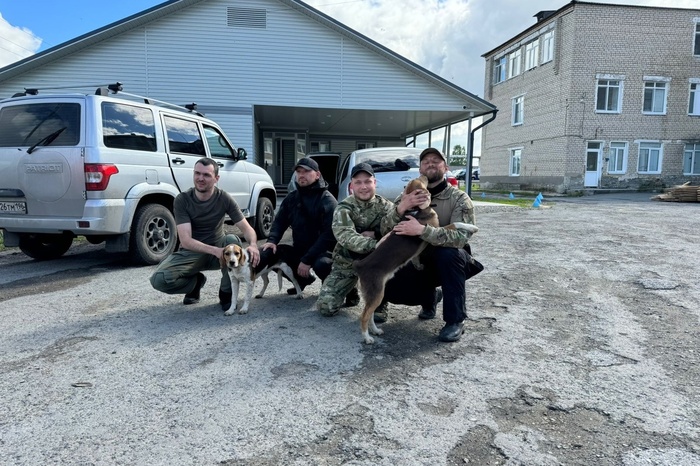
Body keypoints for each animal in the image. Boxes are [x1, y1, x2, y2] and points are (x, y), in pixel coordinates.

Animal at [352, 177, 478, 344]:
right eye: (420, 180)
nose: (425, 176)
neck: (416, 209)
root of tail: (361, 265)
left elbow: (417, 256)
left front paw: (418, 265)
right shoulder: (437, 229)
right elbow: (456, 224)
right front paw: (471, 227)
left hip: (374, 294)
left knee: (370, 314)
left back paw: (375, 330)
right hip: (376, 292)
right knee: (364, 316)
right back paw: (367, 337)